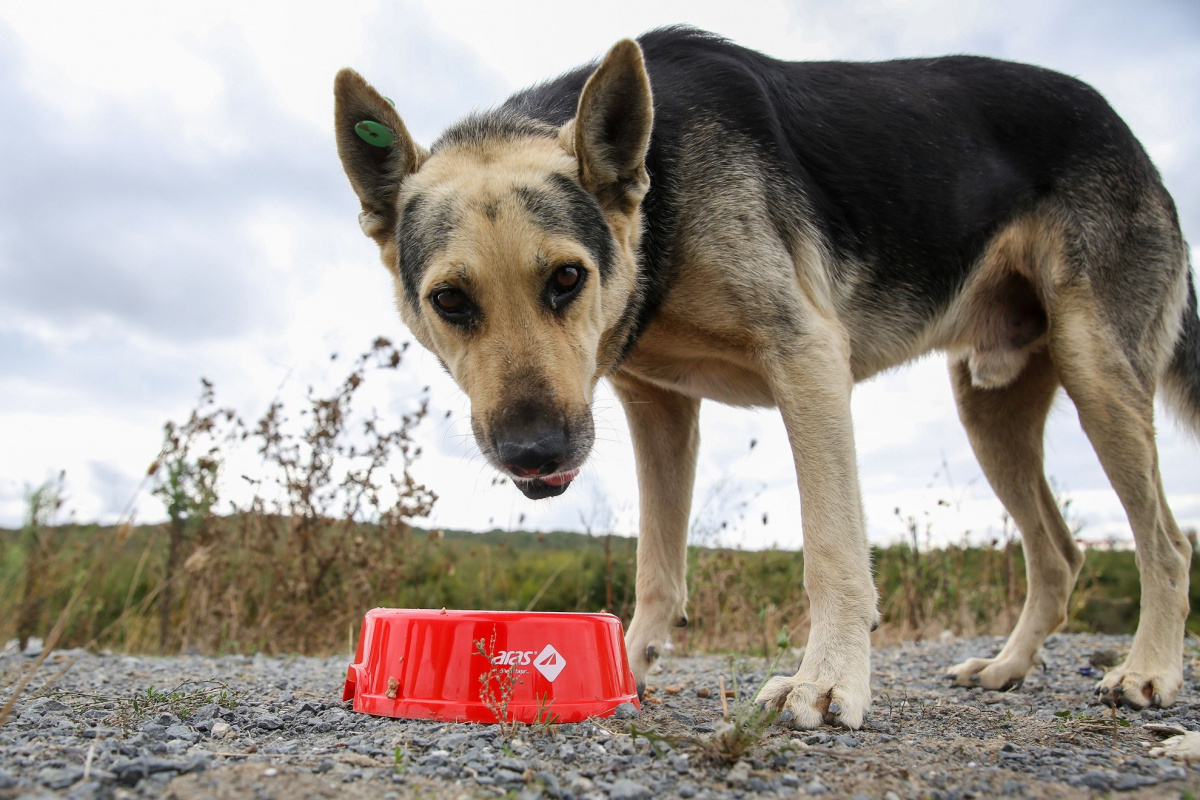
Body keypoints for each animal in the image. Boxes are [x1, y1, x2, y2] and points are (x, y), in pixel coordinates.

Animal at [331, 28, 1200, 729]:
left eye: (567, 279)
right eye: (450, 300)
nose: (534, 452)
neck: (659, 199)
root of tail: (1124, 130)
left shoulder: (808, 361)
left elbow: (832, 550)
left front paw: (829, 683)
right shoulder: (658, 408)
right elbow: (657, 566)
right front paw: (628, 670)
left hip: (1097, 372)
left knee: (1166, 540)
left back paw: (1150, 671)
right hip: (990, 407)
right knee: (1060, 553)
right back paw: (1011, 666)